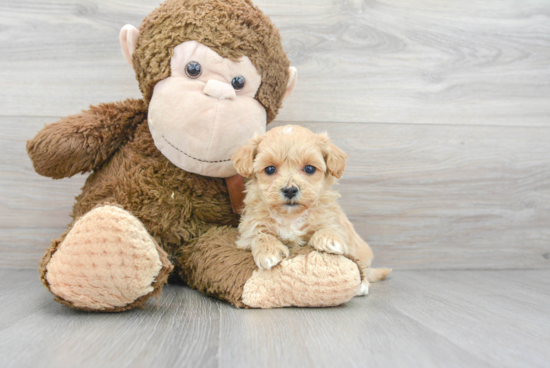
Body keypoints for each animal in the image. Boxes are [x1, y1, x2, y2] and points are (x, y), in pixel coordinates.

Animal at [233, 125, 392, 294]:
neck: (291, 216)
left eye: (309, 168)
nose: (290, 190)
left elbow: (331, 229)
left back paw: (362, 286)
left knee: (364, 270)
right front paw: (268, 252)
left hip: (363, 252)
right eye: (270, 169)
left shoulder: (334, 221)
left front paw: (329, 239)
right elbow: (260, 235)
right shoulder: (247, 233)